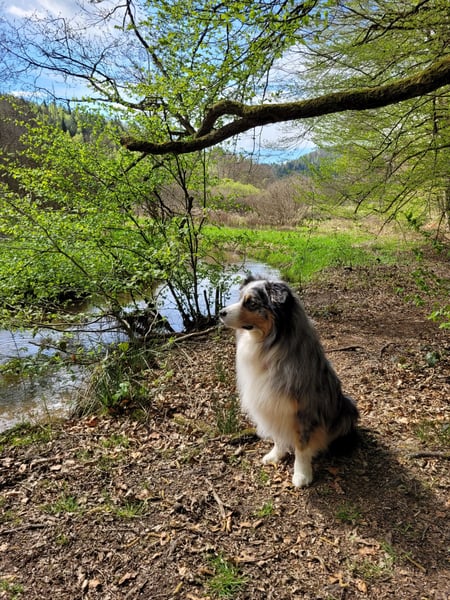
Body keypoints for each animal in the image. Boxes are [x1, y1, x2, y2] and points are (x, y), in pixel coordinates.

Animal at [219, 275, 359, 487]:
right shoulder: (273, 404)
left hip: (348, 409)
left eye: (251, 303)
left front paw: (302, 474)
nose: (220, 312)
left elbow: (302, 445)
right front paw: (276, 455)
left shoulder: (303, 410)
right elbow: (277, 436)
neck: (268, 347)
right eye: (240, 297)